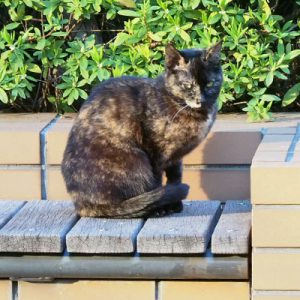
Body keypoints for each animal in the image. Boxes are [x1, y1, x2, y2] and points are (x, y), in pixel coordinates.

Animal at [62, 42, 223, 218]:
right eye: (188, 85)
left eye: (210, 84)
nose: (200, 99)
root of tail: (81, 204)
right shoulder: (155, 152)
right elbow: (158, 183)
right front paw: (162, 207)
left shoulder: (175, 158)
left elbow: (175, 177)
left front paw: (174, 203)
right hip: (137, 160)